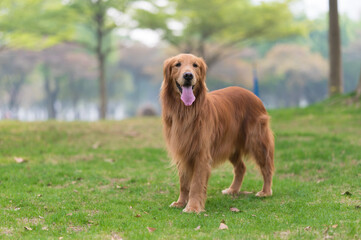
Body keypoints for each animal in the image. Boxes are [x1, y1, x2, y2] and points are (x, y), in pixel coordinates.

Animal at [160, 53, 272, 213]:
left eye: (195, 65)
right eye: (177, 64)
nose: (188, 75)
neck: (186, 112)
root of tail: (252, 94)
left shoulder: (201, 154)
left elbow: (196, 184)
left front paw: (193, 207)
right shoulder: (182, 151)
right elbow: (184, 183)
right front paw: (181, 202)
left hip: (256, 141)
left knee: (266, 166)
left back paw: (265, 192)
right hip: (230, 145)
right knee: (241, 167)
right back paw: (233, 190)